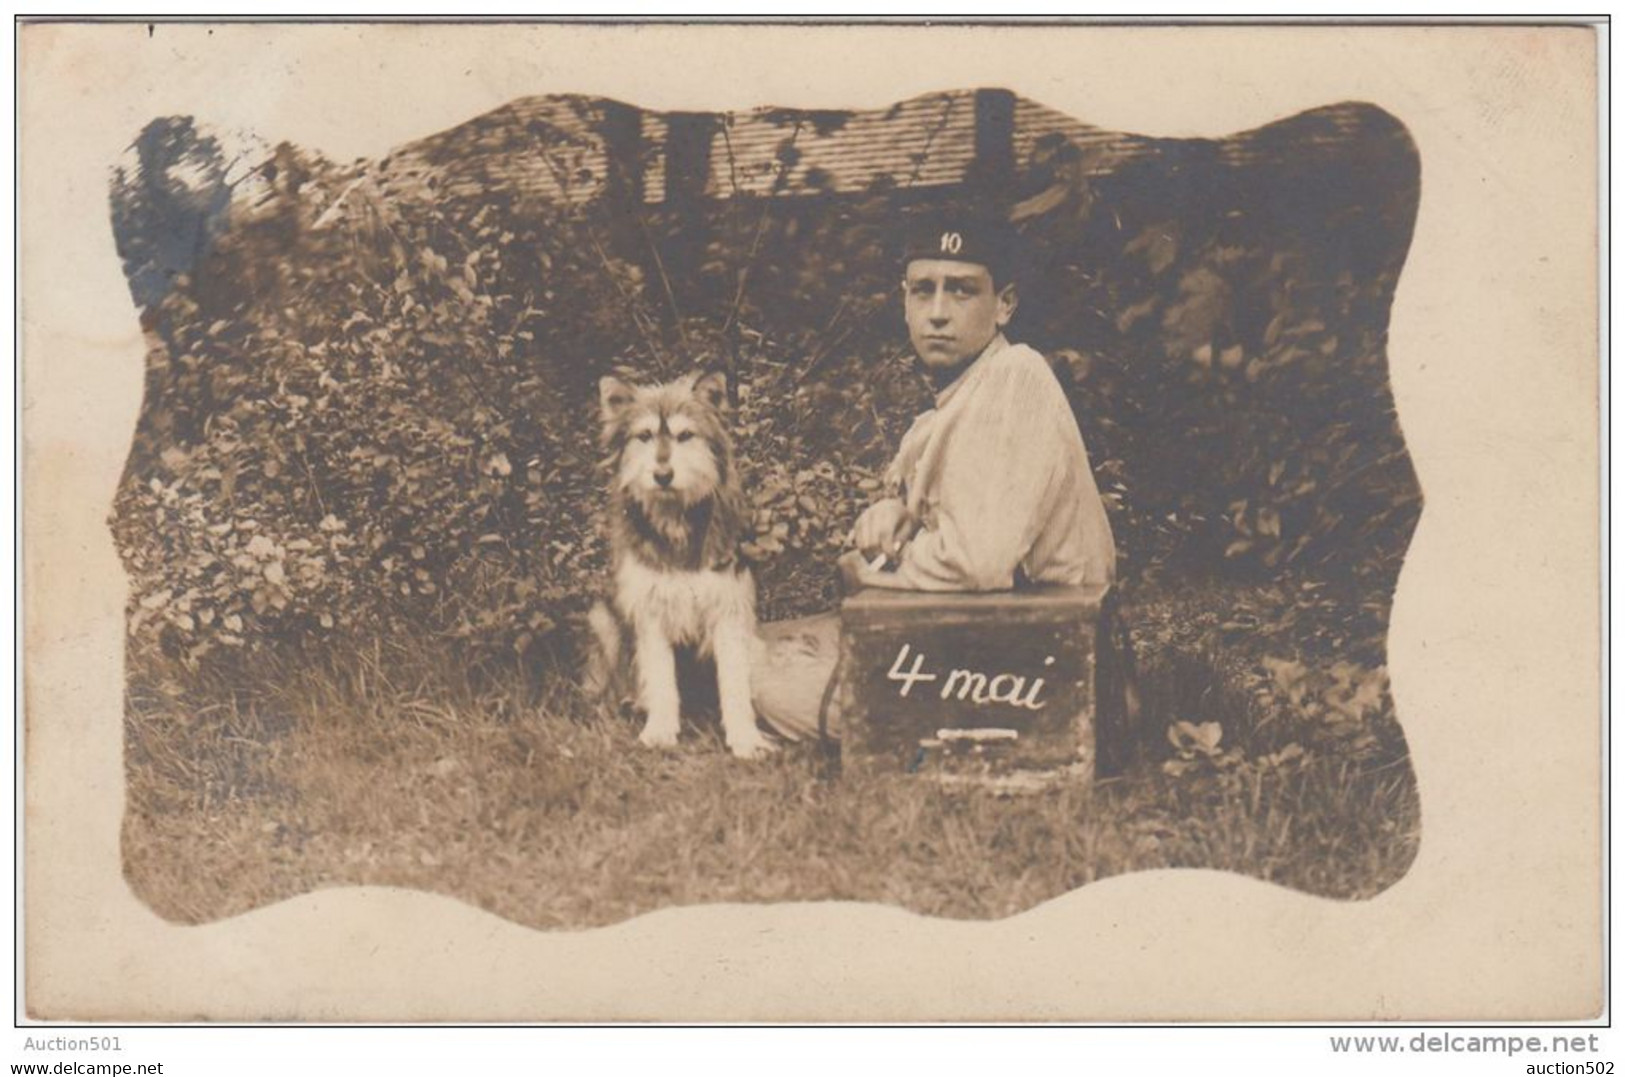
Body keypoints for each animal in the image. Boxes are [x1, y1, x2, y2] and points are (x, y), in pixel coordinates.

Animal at [581, 370, 770, 756]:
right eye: (644, 436)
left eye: (685, 436)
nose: (662, 475)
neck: (676, 523)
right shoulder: (649, 612)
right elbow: (661, 680)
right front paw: (660, 731)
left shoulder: (729, 608)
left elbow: (734, 683)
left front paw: (745, 737)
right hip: (602, 617)